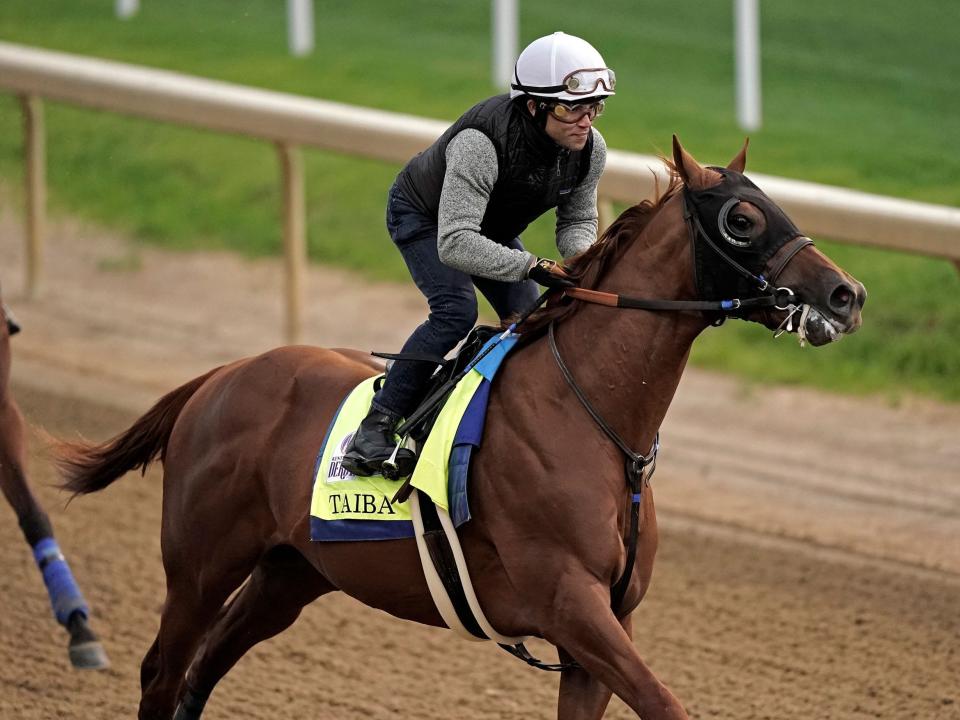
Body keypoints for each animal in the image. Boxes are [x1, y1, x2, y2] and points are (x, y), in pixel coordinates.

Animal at [62, 138, 872, 716]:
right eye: (742, 219)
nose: (848, 293)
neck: (592, 418)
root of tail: (219, 377)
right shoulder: (571, 604)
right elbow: (666, 704)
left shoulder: (601, 629)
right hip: (200, 565)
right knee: (163, 671)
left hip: (290, 573)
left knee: (201, 674)